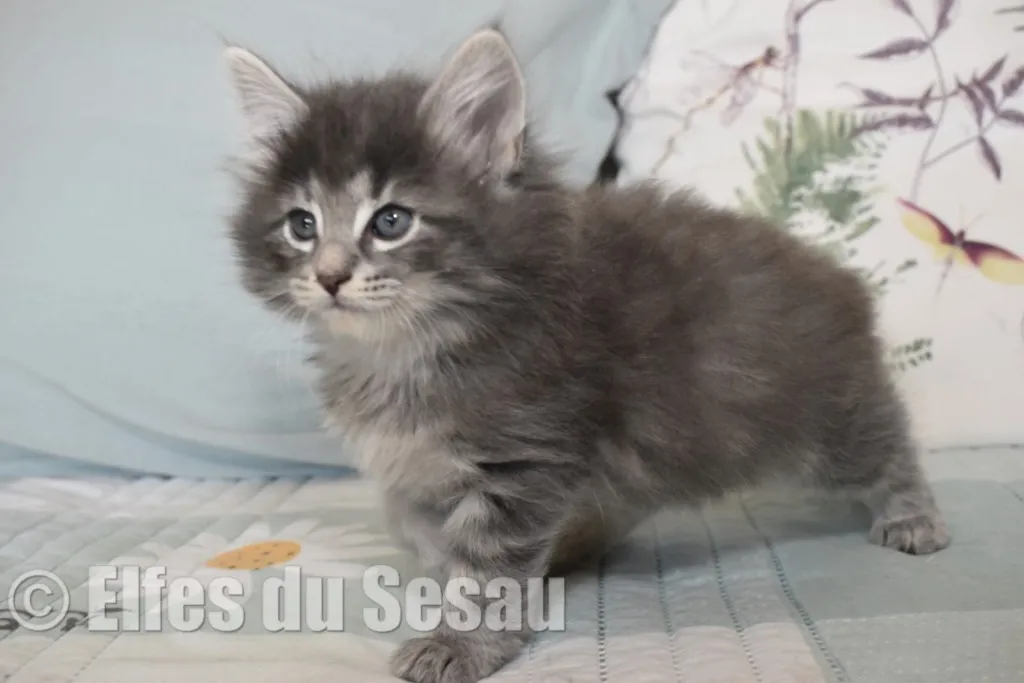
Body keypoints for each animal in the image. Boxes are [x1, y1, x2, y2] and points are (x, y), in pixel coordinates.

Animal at [221, 28, 949, 683]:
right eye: (302, 225)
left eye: (391, 221)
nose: (330, 276)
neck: (405, 348)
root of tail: (836, 275)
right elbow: (405, 516)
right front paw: (439, 554)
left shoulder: (523, 458)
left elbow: (486, 571)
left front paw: (462, 643)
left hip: (824, 420)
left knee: (886, 442)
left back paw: (913, 515)